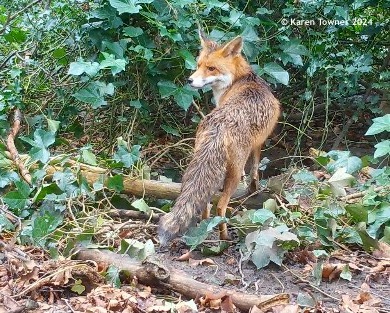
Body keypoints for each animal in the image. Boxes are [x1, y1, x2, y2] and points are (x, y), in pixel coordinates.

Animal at [157, 29, 282, 245]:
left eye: (211, 68)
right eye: (198, 65)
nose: (189, 80)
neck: (242, 79)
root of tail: (220, 125)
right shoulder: (258, 143)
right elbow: (255, 168)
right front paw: (254, 187)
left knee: (204, 203)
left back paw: (204, 231)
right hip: (234, 171)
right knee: (220, 206)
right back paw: (224, 237)